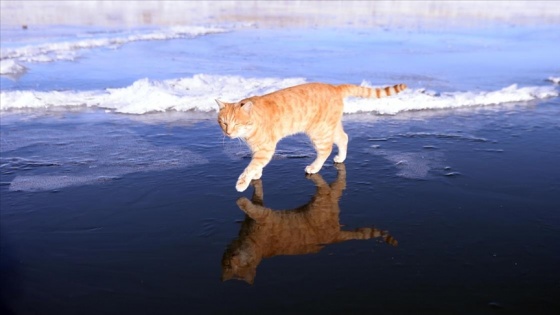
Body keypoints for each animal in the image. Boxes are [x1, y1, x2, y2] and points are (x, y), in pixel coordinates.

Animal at [215, 81, 406, 193]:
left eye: (236, 123)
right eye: (223, 122)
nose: (228, 132)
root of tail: (334, 87)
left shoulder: (266, 148)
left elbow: (251, 166)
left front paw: (243, 182)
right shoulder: (258, 149)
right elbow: (256, 165)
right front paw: (256, 174)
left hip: (319, 132)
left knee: (326, 150)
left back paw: (314, 167)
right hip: (330, 126)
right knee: (344, 137)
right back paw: (341, 157)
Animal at [221, 163, 396, 286]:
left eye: (238, 265)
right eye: (227, 264)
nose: (232, 257)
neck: (253, 242)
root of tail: (335, 237)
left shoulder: (262, 215)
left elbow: (250, 206)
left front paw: (241, 198)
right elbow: (258, 191)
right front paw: (255, 178)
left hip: (321, 198)